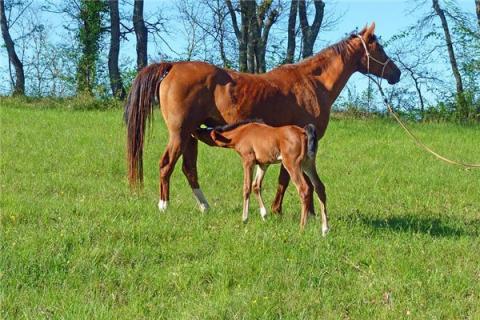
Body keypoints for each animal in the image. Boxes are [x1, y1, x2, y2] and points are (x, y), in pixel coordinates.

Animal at [194, 120, 326, 235]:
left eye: (205, 131)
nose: (195, 130)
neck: (241, 134)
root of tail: (303, 132)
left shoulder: (248, 160)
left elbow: (247, 187)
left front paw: (244, 218)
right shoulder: (263, 163)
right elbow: (256, 185)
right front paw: (264, 215)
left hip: (292, 164)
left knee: (304, 189)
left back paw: (302, 228)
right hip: (308, 163)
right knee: (319, 187)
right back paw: (325, 229)